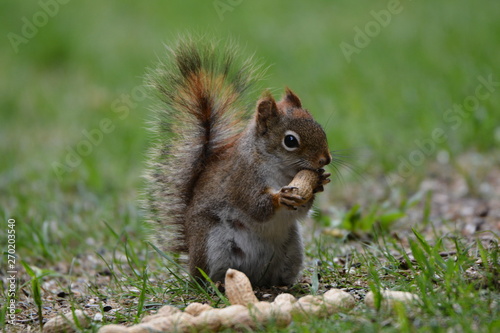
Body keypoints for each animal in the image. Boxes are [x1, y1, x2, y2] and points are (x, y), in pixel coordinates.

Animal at [145, 35, 332, 286]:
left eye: (319, 126)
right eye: (290, 141)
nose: (325, 160)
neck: (282, 171)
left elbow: (300, 211)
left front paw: (319, 183)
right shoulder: (241, 178)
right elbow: (255, 206)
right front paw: (279, 197)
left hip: (292, 248)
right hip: (212, 244)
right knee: (206, 277)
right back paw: (217, 283)